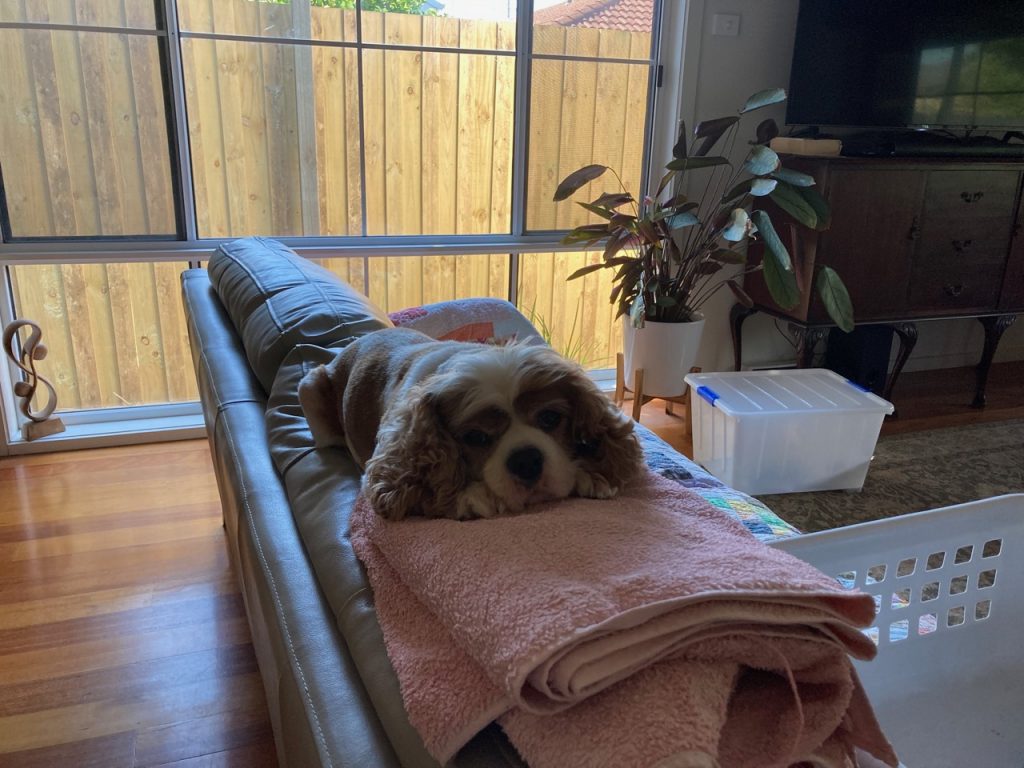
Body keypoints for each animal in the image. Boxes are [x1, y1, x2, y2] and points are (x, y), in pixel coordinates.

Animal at [296, 327, 638, 520]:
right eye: (476, 437)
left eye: (550, 418)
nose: (526, 461)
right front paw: (474, 496)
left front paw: (591, 473)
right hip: (309, 387)